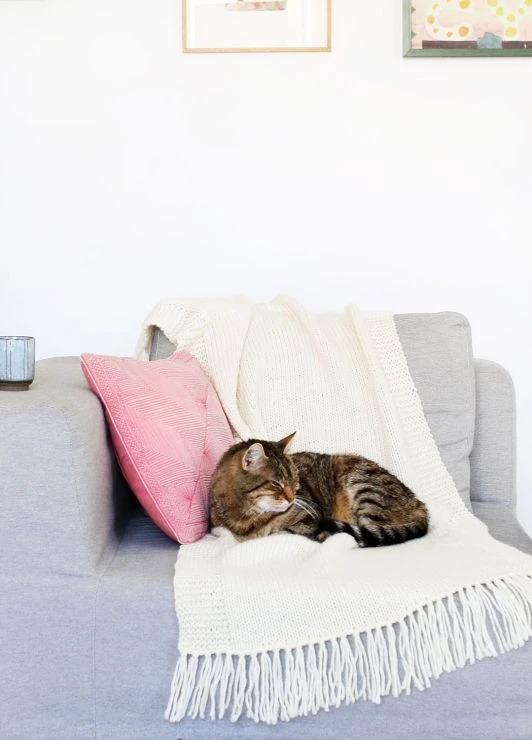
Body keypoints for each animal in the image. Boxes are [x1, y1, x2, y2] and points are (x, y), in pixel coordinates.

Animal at [209, 433, 429, 547]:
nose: (292, 498)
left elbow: (287, 530)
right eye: (277, 484)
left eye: (295, 480)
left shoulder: (309, 518)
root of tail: (419, 504)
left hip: (364, 487)